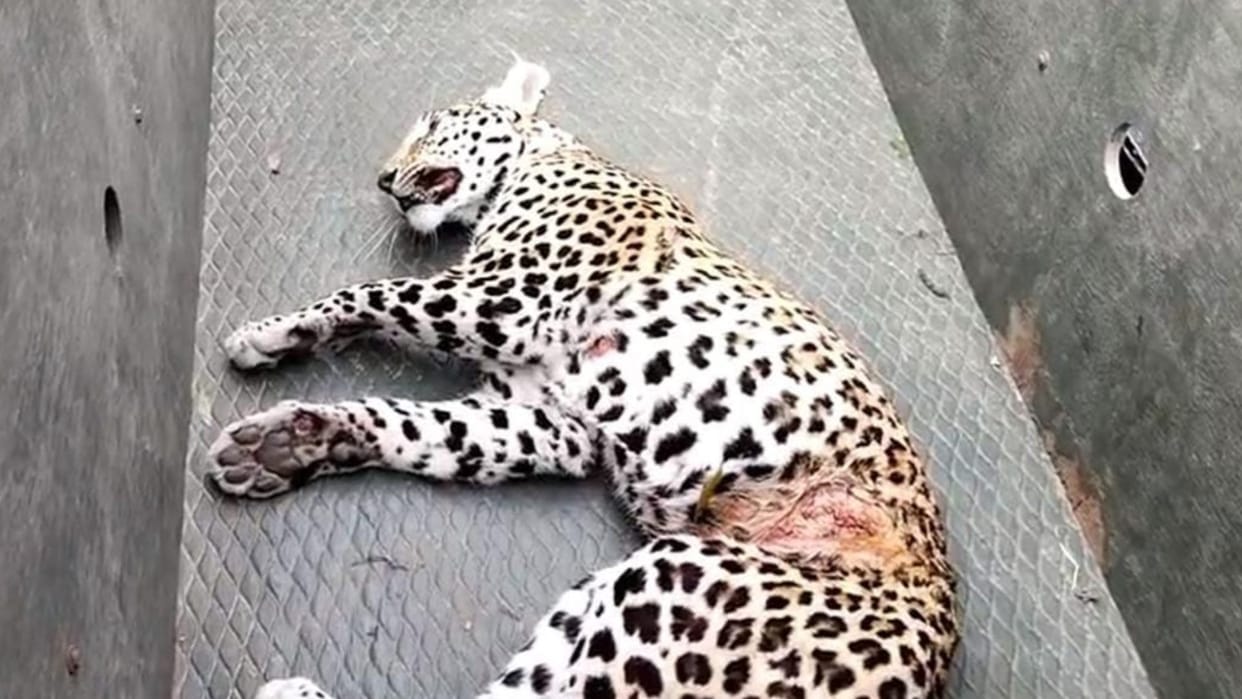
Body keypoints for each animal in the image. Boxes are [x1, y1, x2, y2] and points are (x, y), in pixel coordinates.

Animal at [211, 59, 960, 699]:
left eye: (431, 124)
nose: (384, 178)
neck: (544, 158)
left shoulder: (506, 298)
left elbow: (370, 292)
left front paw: (275, 331)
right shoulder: (549, 416)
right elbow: (420, 426)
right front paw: (287, 442)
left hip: (673, 579)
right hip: (595, 598)